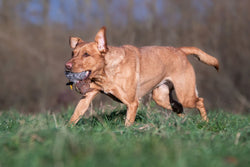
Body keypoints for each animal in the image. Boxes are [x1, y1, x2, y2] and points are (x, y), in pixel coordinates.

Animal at [64, 26, 219, 126]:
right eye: (73, 53)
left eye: (86, 54)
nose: (67, 66)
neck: (105, 72)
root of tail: (180, 50)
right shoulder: (87, 97)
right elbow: (75, 115)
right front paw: (67, 130)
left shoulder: (132, 103)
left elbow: (128, 124)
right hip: (161, 97)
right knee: (179, 108)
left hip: (185, 94)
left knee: (199, 101)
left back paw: (205, 123)